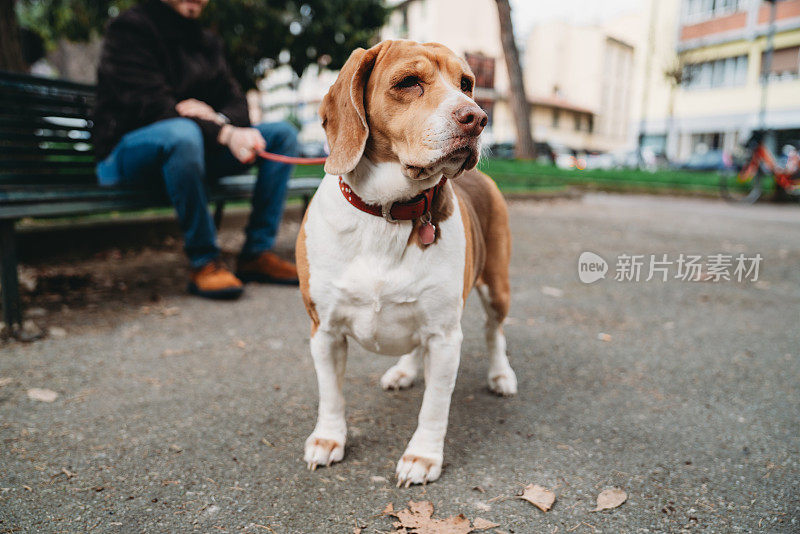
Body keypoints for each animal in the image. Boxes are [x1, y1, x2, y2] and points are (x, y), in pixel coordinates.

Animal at [296, 39, 516, 488]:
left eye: (467, 84)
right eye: (409, 82)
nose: (478, 118)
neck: (387, 212)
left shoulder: (445, 336)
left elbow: (435, 405)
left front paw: (423, 457)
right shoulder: (324, 330)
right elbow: (331, 395)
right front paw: (328, 439)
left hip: (496, 287)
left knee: (494, 332)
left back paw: (500, 374)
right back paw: (404, 370)